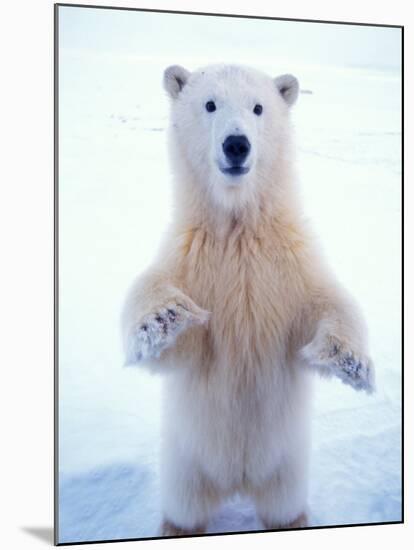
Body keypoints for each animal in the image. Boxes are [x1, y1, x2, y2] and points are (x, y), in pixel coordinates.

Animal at [120, 64, 376, 540]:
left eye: (258, 107)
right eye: (209, 103)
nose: (236, 144)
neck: (238, 227)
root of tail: (237, 482)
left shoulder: (288, 263)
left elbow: (328, 302)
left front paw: (350, 361)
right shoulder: (192, 258)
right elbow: (166, 323)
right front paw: (165, 315)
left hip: (287, 466)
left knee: (282, 505)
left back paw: (293, 520)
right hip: (186, 463)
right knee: (185, 508)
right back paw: (176, 526)